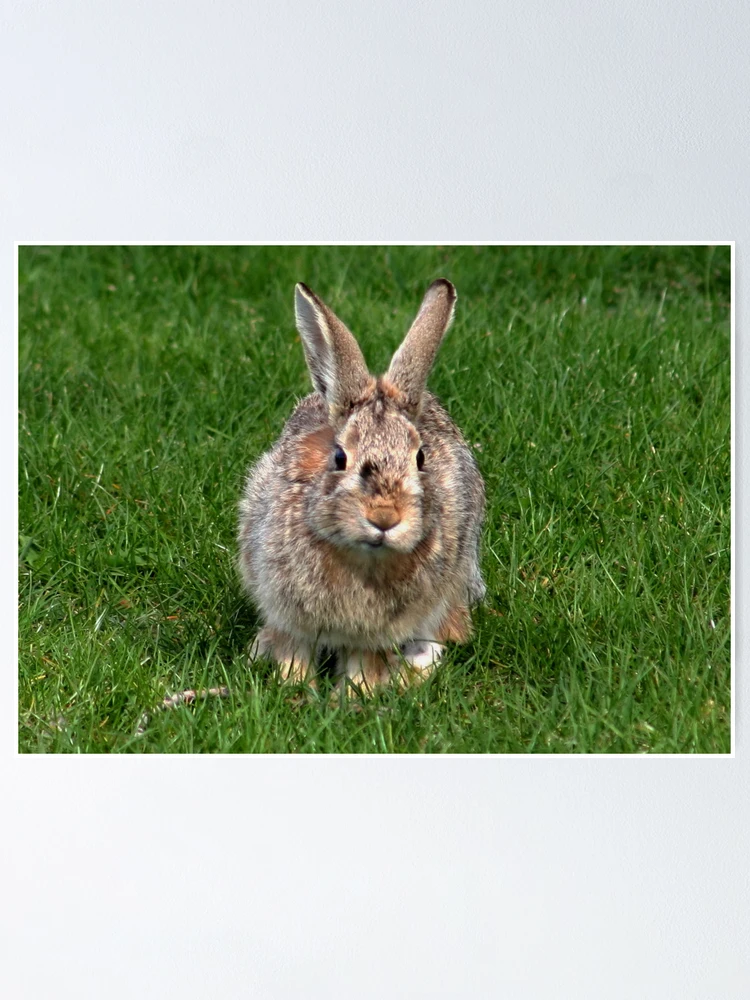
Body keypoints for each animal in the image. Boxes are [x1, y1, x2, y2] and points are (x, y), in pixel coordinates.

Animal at [237, 278, 486, 690]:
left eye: (421, 459)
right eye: (339, 458)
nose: (384, 518)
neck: (363, 558)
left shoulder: (379, 633)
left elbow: (364, 663)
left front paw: (354, 695)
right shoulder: (285, 607)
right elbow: (294, 649)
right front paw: (295, 687)